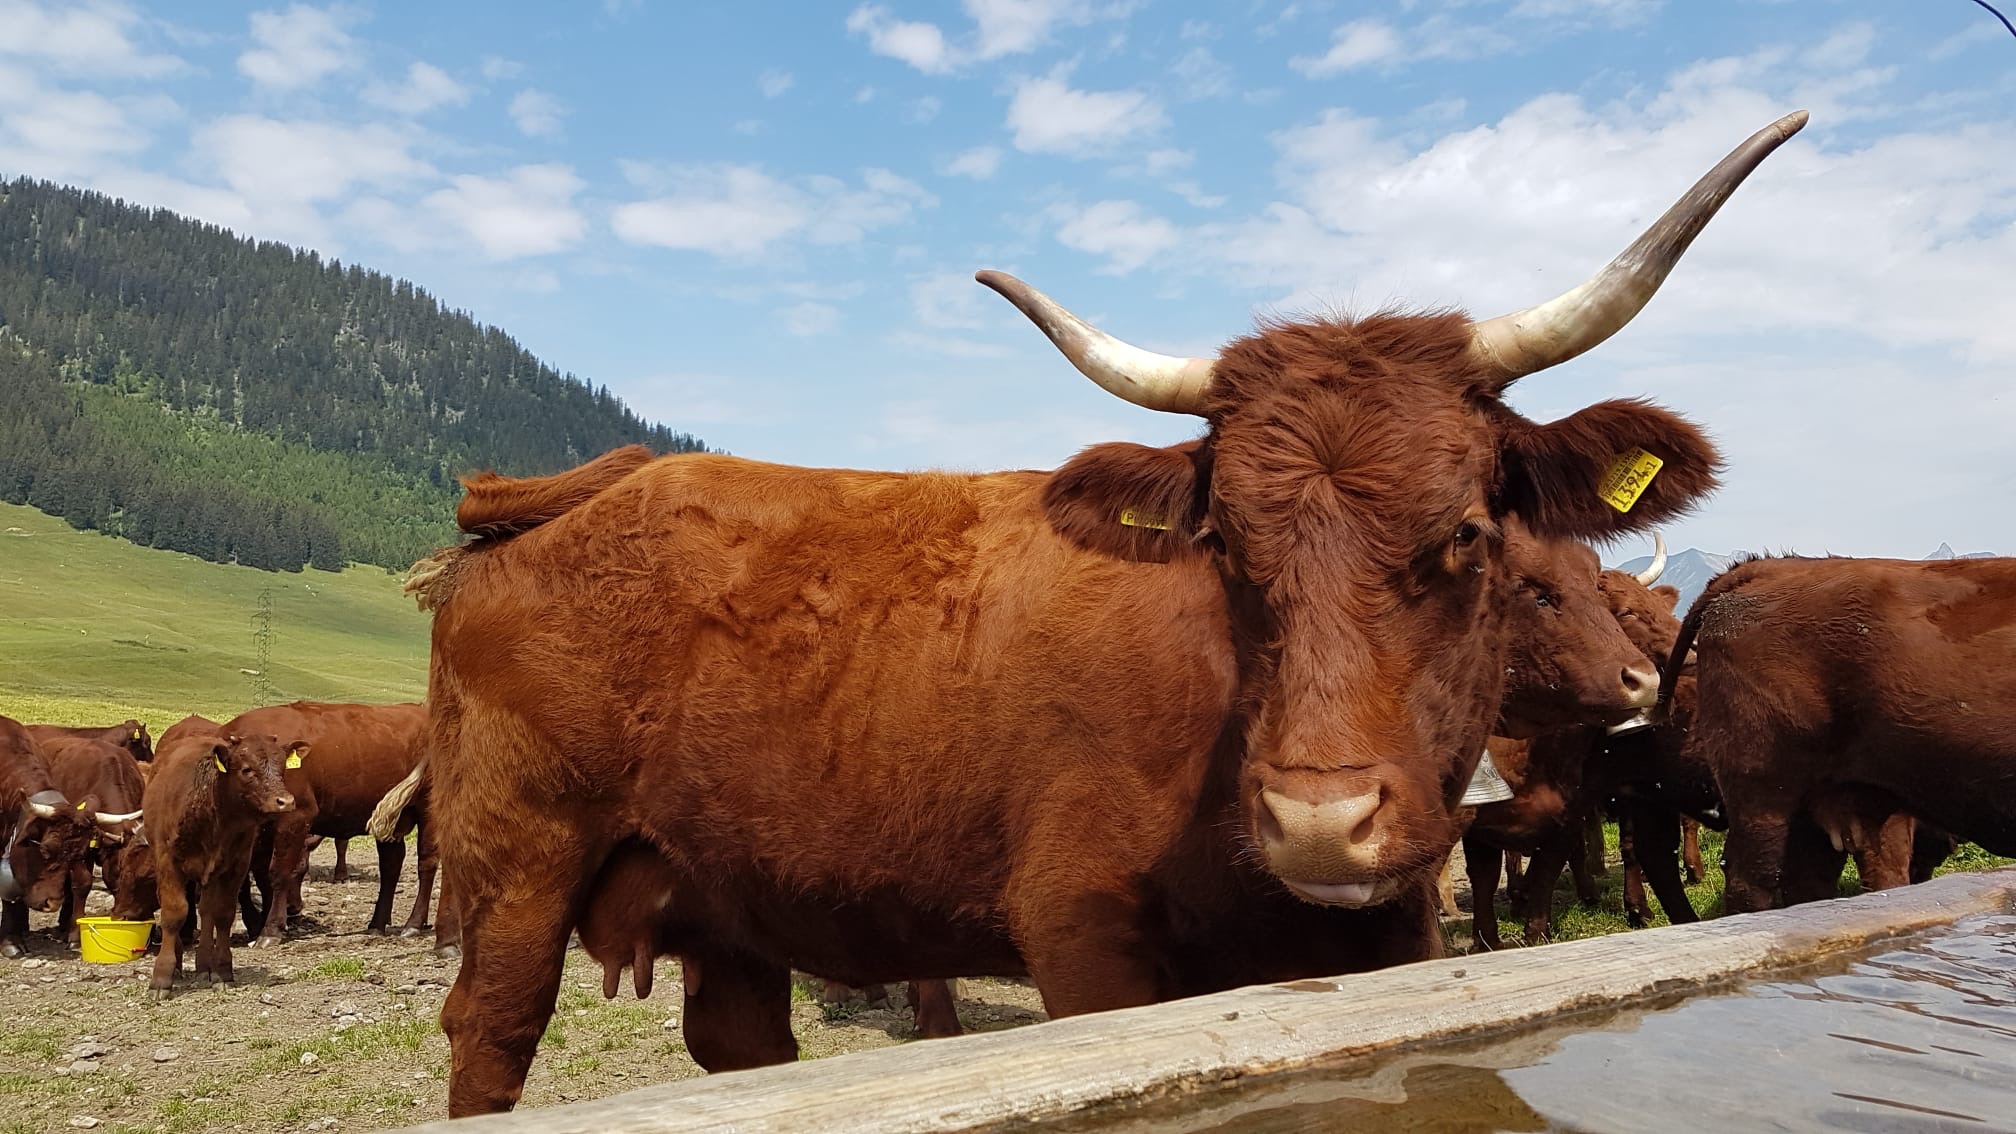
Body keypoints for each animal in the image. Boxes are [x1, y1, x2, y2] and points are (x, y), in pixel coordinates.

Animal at [143, 730, 300, 998]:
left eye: (282, 768)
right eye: (247, 769)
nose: (285, 801)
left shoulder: (237, 865)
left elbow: (223, 914)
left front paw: (222, 971)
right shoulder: (168, 862)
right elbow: (174, 914)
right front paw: (161, 977)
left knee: (207, 912)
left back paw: (204, 966)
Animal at [219, 701, 429, 944]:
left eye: (282, 768)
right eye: (246, 769)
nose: (293, 909)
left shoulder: (296, 817)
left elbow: (278, 872)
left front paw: (270, 929)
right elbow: (248, 877)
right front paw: (257, 922)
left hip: (429, 812)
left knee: (426, 865)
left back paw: (413, 924)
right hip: (389, 819)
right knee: (391, 867)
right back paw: (377, 924)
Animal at [414, 114, 1799, 1115]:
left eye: (1469, 532)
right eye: (1225, 541)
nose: (1318, 822)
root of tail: (568, 498)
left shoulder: (1397, 933)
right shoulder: (1084, 941)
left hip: (724, 895)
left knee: (743, 1048)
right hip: (516, 869)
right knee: (490, 1038)